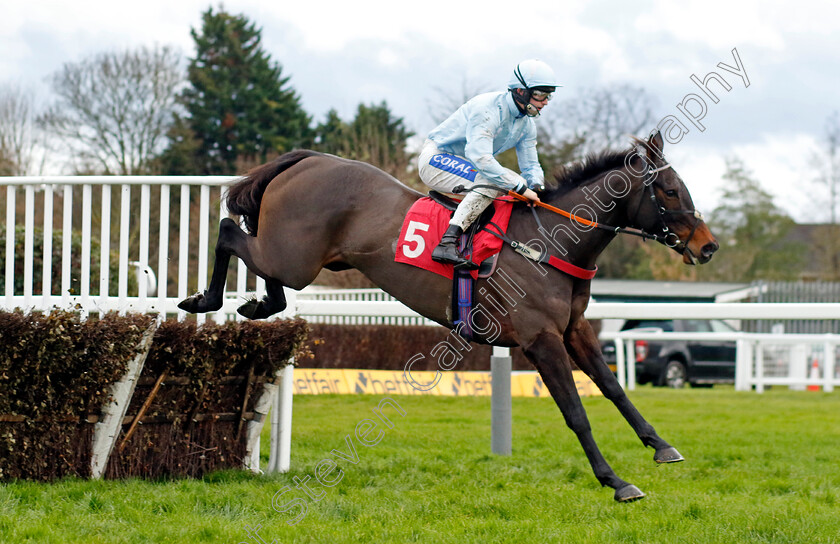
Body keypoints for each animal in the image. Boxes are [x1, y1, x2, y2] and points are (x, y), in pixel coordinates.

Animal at [180, 129, 720, 502]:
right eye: (669, 191)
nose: (708, 246)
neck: (549, 244)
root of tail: (309, 158)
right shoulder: (540, 340)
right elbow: (576, 413)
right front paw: (616, 481)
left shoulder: (574, 329)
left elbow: (613, 389)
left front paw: (660, 445)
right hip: (296, 256)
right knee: (229, 230)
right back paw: (203, 300)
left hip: (302, 259)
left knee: (260, 262)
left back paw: (258, 303)